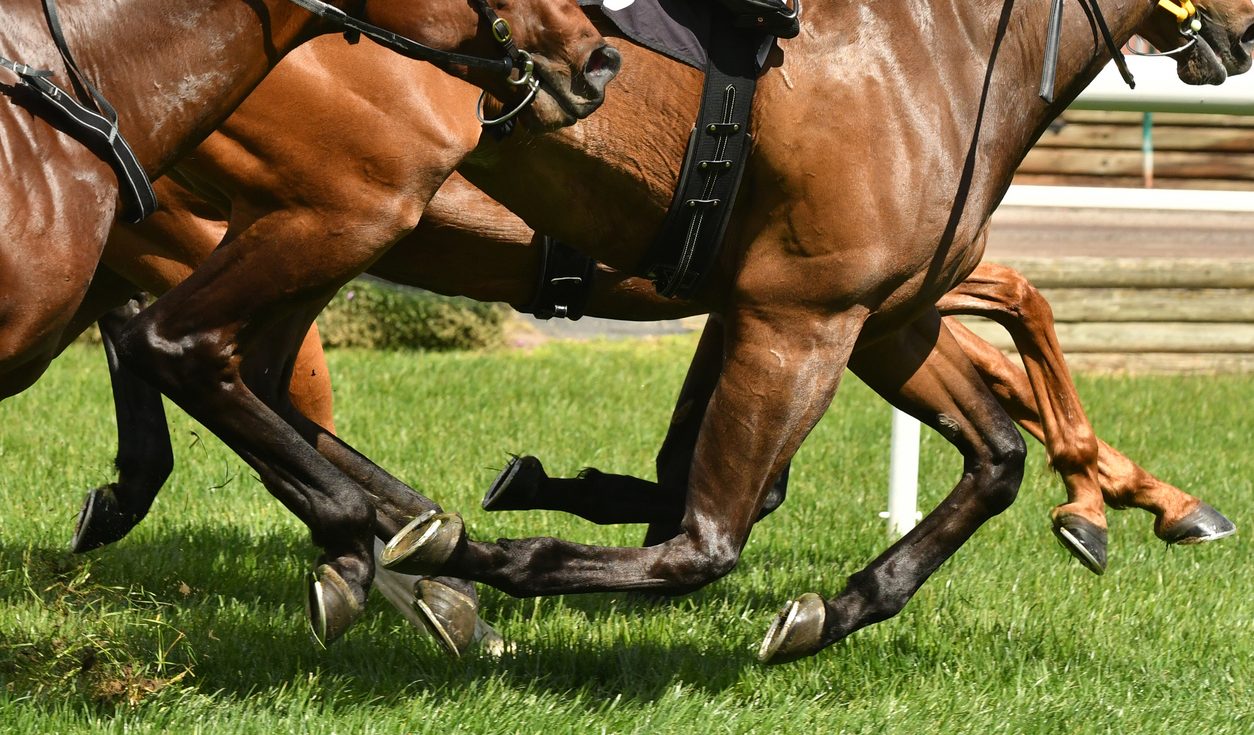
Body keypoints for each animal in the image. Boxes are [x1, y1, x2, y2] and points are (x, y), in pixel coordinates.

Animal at [104, 0, 1253, 663]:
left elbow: (997, 452)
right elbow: (703, 538)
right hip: (339, 209)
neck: (939, 51)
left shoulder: (878, 313)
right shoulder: (799, 314)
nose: (1241, 32)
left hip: (303, 226)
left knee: (233, 373)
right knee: (185, 349)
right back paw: (405, 549)